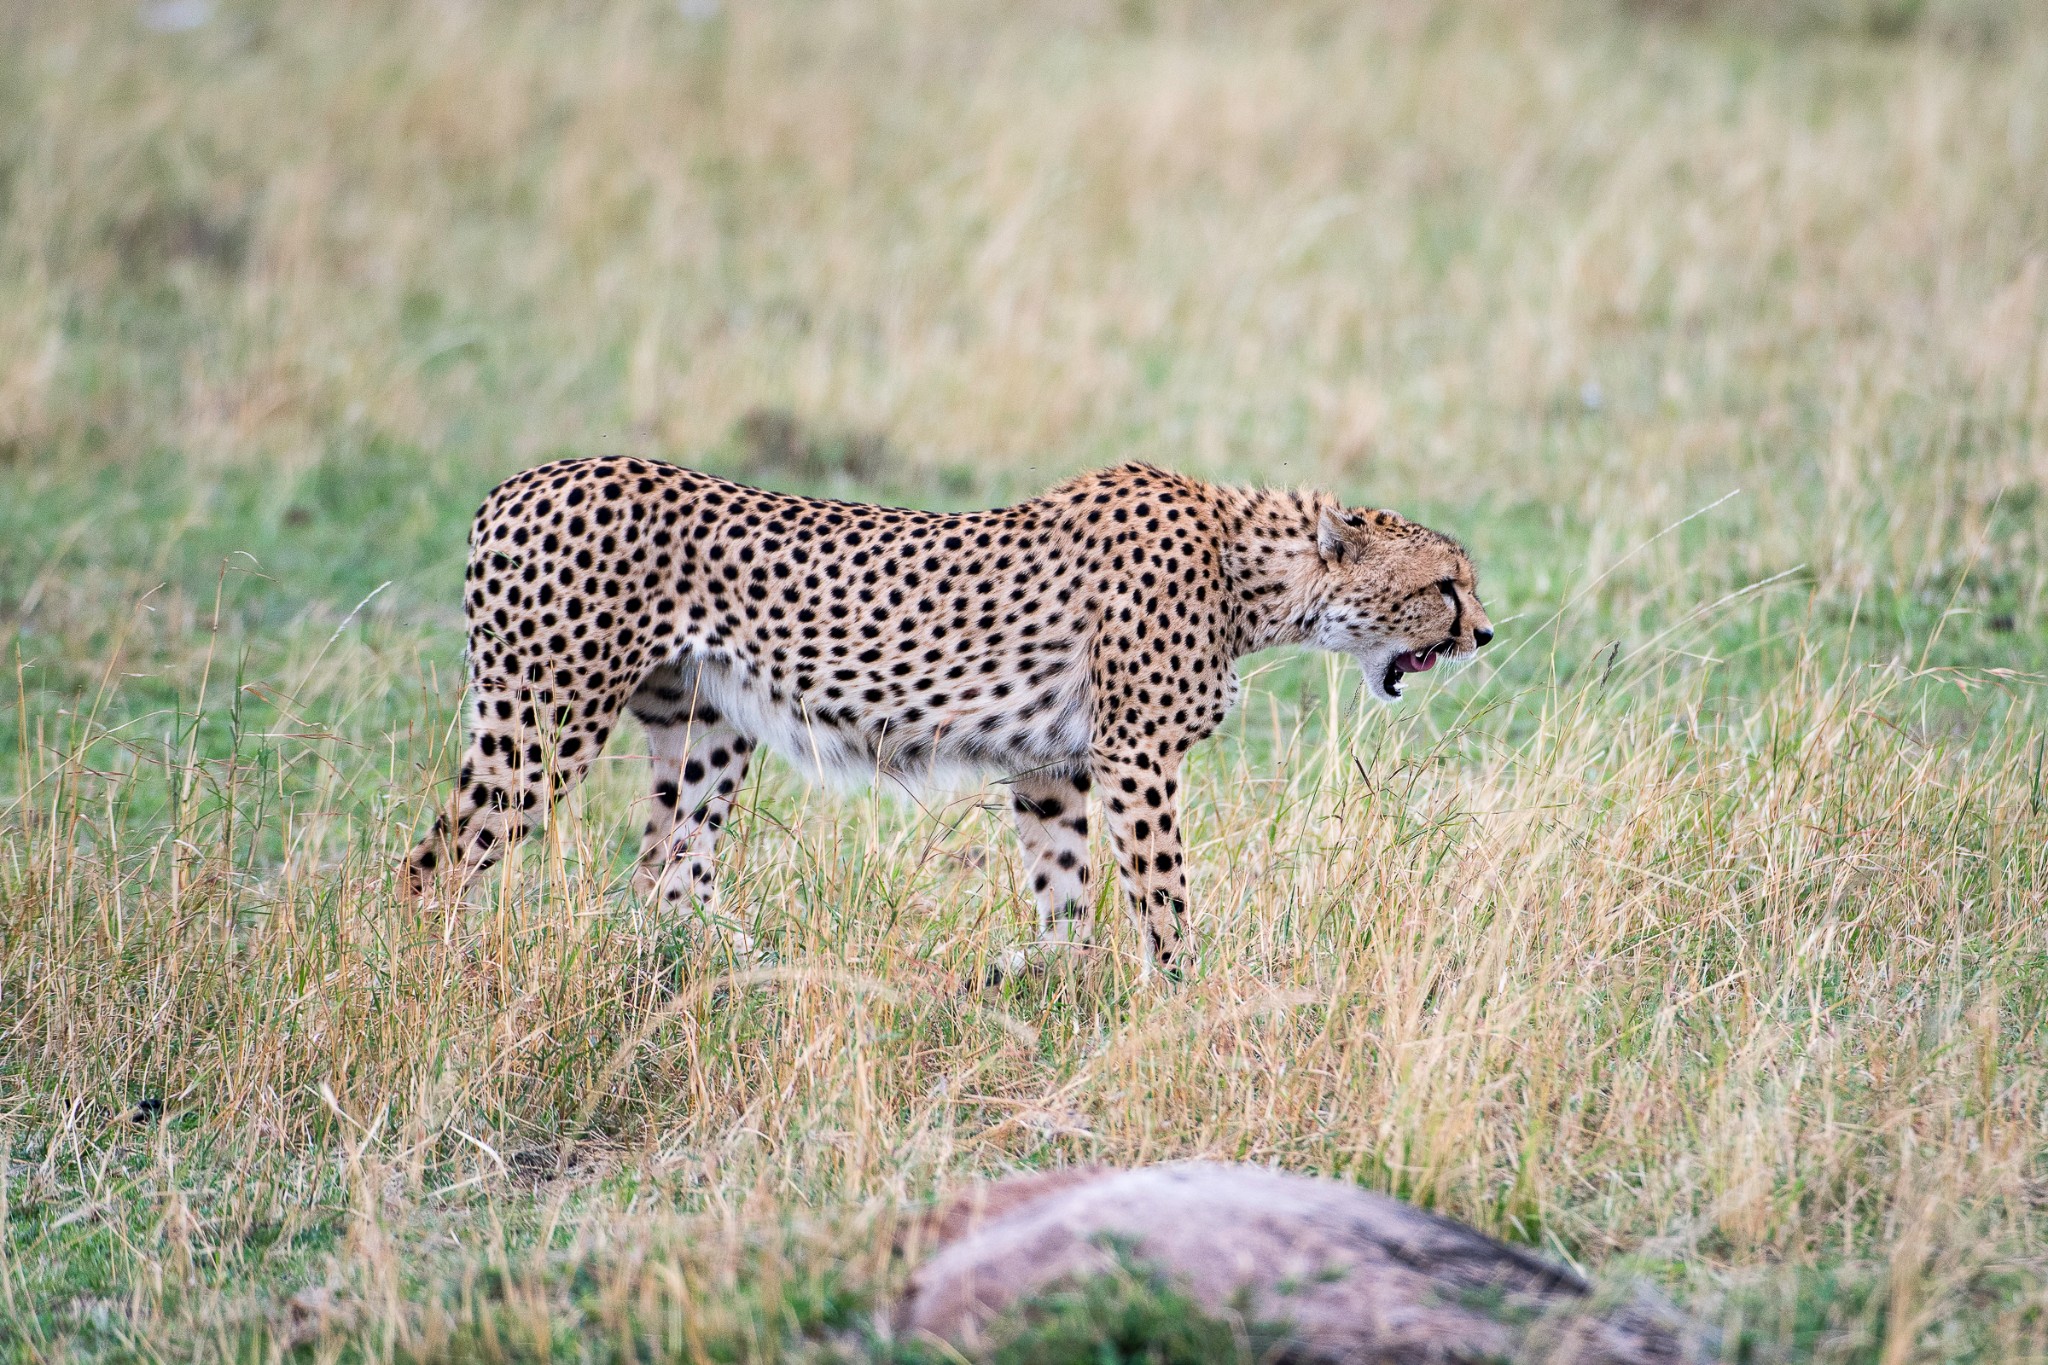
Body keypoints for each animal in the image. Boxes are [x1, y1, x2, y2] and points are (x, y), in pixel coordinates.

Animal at [403, 464, 1490, 978]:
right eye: (1444, 584)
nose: (1484, 630)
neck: (1252, 575)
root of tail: (517, 484)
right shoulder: (1134, 755)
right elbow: (1163, 896)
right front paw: (1187, 995)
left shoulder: (1053, 765)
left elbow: (1068, 898)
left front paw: (1031, 975)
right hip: (543, 719)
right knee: (436, 864)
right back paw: (433, 984)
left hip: (707, 719)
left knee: (666, 873)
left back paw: (752, 970)